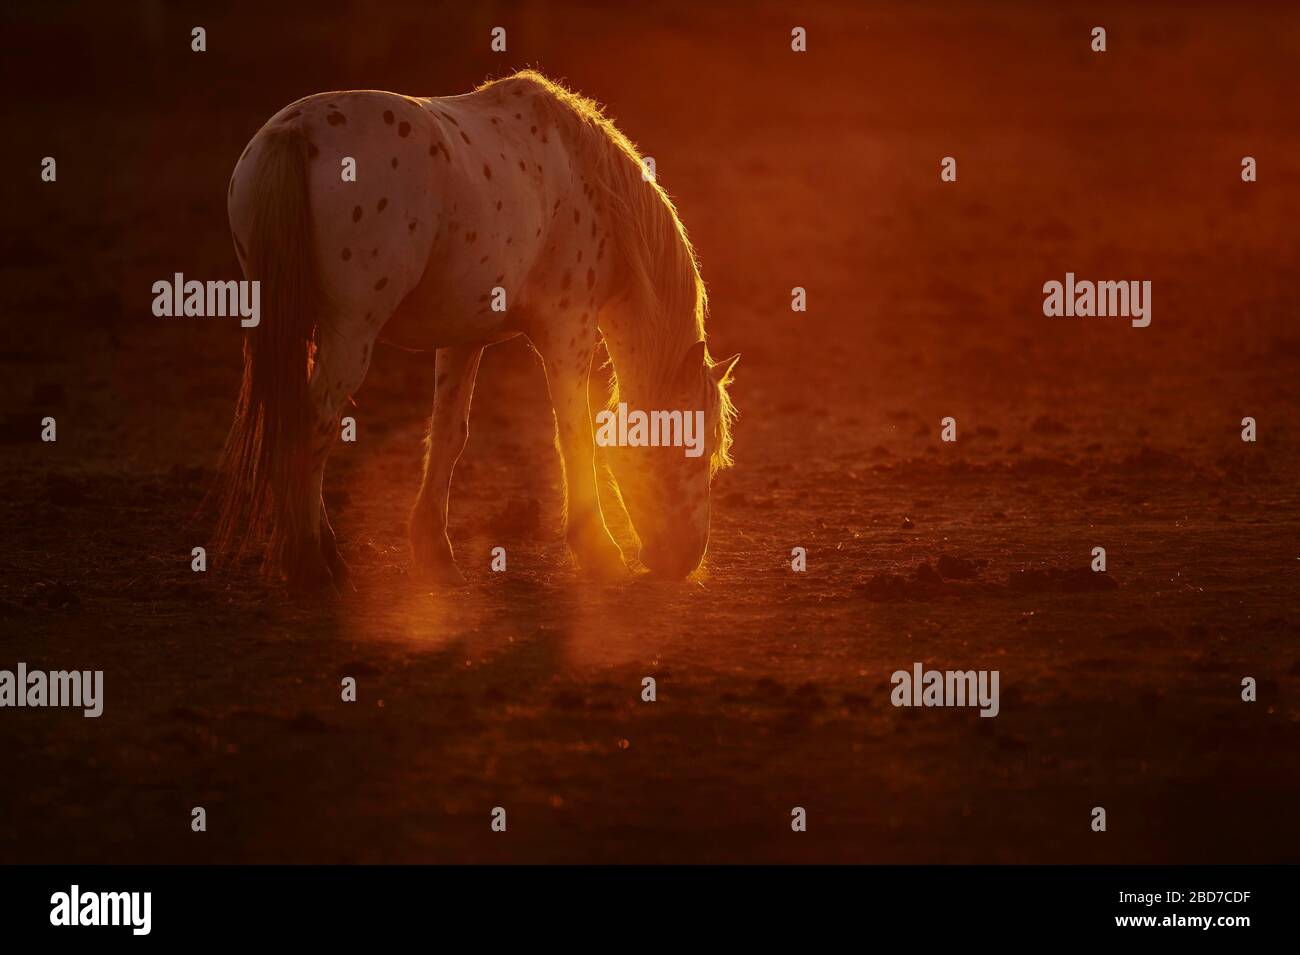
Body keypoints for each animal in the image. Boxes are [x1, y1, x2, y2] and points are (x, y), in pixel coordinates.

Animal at [212, 70, 738, 591]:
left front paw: (435, 552)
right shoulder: (568, 330)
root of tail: (294, 132)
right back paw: (310, 565)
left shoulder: (463, 338)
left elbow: (449, 435)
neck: (587, 181)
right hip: (349, 333)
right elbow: (575, 435)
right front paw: (600, 553)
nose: (686, 560)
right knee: (313, 422)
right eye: (696, 451)